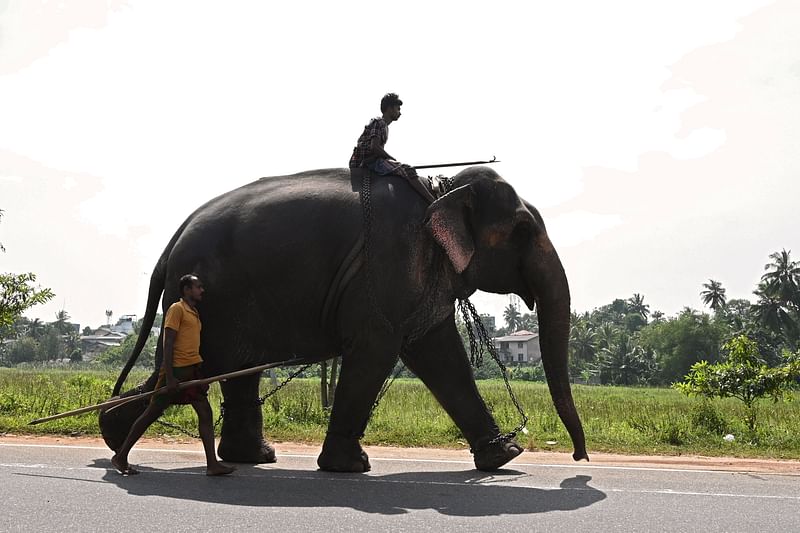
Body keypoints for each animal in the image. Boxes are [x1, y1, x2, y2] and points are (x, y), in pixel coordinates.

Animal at [98, 165, 588, 470]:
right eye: (523, 230)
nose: (579, 458)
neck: (438, 190)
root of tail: (171, 244)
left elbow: (438, 353)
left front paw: (506, 456)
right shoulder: (389, 262)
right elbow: (378, 348)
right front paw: (351, 467)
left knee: (233, 371)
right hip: (212, 301)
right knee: (201, 372)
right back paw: (115, 435)